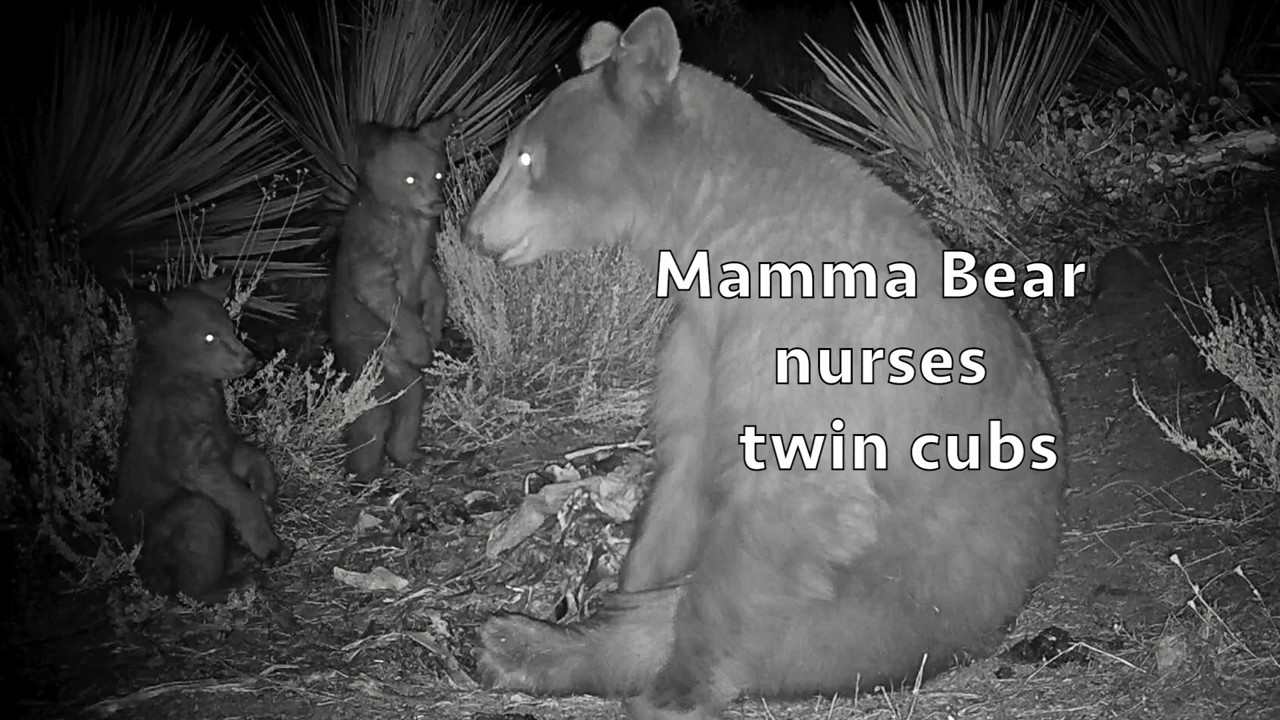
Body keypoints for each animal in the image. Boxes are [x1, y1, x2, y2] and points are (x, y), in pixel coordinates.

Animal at [110, 273, 286, 603]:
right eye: (208, 338)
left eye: (231, 328)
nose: (250, 360)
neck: (195, 388)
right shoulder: (186, 453)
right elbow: (237, 497)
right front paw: (265, 541)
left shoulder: (221, 439)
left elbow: (252, 456)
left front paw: (266, 492)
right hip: (175, 528)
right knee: (192, 581)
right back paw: (238, 582)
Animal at [328, 115, 454, 487]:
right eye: (409, 179)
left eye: (438, 175)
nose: (436, 203)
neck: (409, 223)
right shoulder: (373, 256)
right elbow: (385, 298)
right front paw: (421, 344)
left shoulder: (422, 261)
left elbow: (435, 288)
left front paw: (433, 329)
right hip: (367, 357)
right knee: (373, 417)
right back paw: (364, 478)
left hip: (401, 375)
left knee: (411, 401)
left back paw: (410, 457)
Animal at [462, 7, 1068, 720]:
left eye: (525, 156)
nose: (471, 231)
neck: (723, 231)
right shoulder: (703, 336)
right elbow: (687, 461)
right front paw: (628, 579)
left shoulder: (804, 342)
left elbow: (781, 504)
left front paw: (674, 690)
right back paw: (517, 642)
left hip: (889, 605)